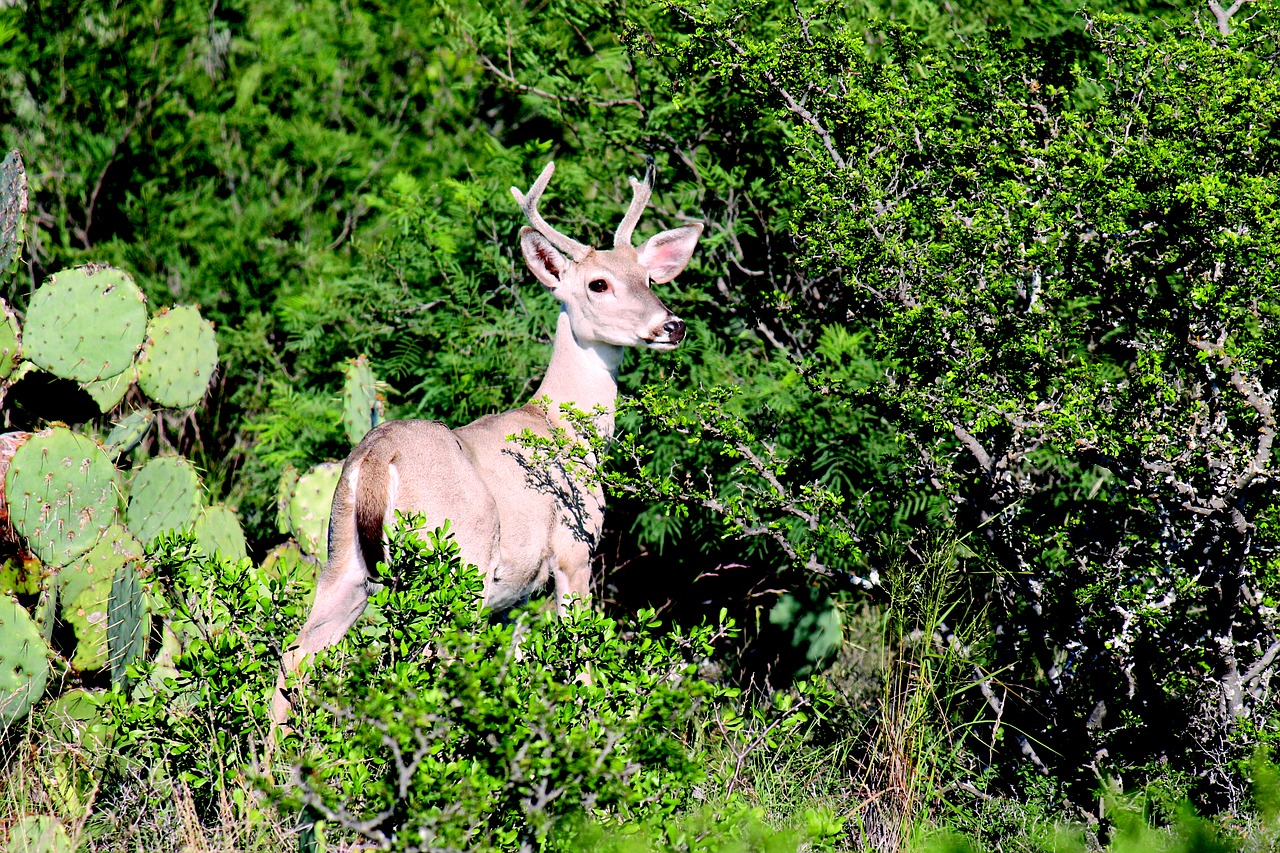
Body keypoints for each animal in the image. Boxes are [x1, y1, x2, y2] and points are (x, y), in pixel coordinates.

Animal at [270, 161, 706, 722]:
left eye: (649, 278)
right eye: (599, 283)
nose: (671, 325)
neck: (563, 426)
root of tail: (377, 459)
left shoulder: (517, 593)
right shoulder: (574, 549)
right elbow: (582, 662)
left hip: (341, 557)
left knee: (296, 655)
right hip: (458, 561)